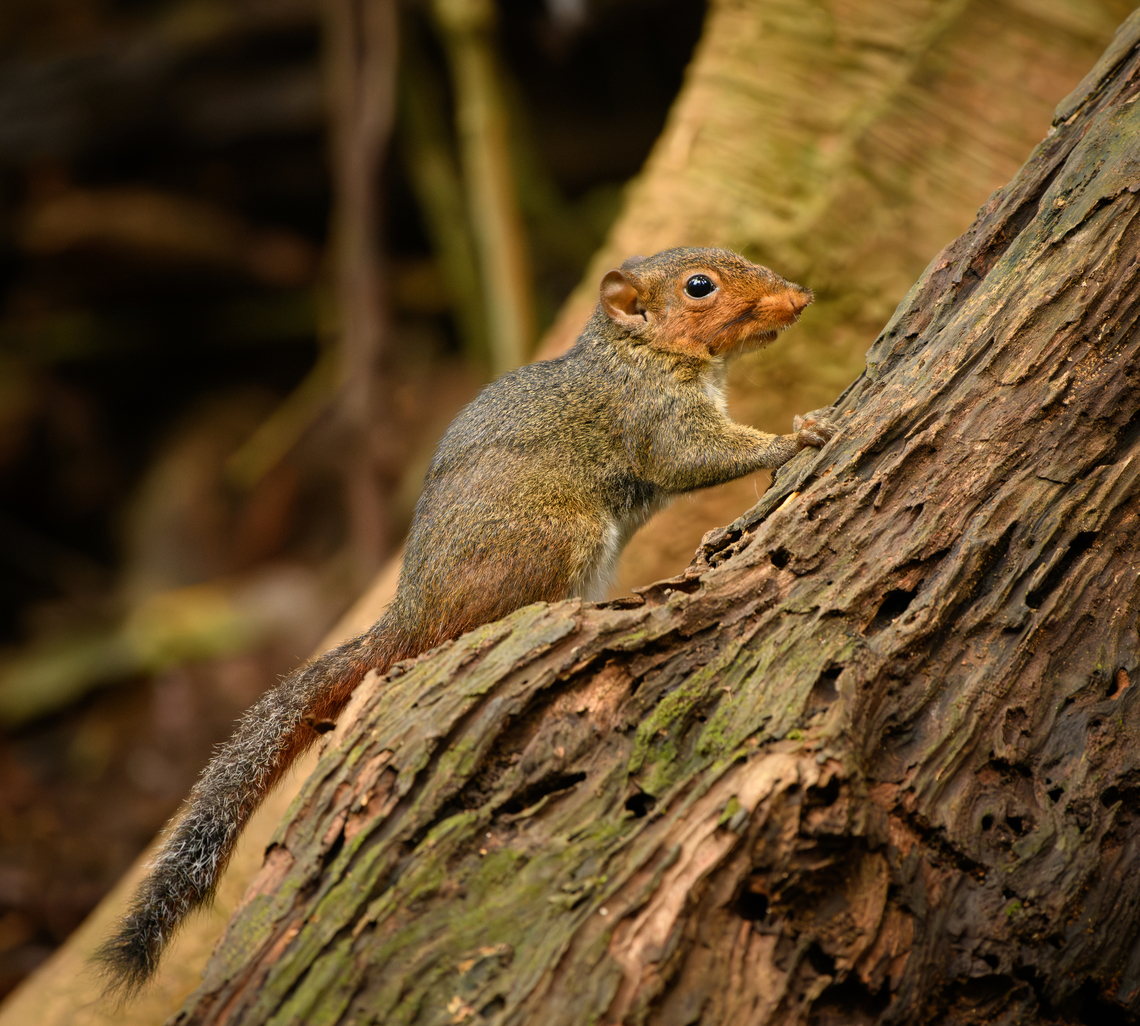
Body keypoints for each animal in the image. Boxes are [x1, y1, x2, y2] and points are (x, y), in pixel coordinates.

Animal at [96, 246, 835, 993]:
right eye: (698, 287)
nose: (802, 296)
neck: (636, 352)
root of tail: (412, 615)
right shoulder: (654, 416)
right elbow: (693, 458)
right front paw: (796, 437)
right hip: (557, 543)